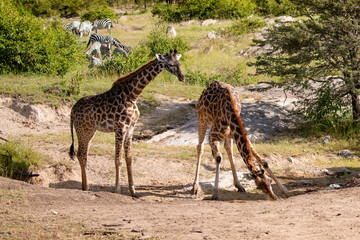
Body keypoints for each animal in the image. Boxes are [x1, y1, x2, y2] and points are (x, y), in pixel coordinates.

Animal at [69, 49, 184, 197]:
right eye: (170, 64)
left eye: (179, 64)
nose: (182, 77)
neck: (132, 95)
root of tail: (72, 110)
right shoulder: (120, 127)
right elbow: (118, 159)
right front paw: (117, 189)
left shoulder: (131, 127)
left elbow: (129, 158)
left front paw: (133, 190)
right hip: (83, 130)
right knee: (81, 154)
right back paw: (86, 187)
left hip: (90, 130)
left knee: (83, 154)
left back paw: (85, 186)